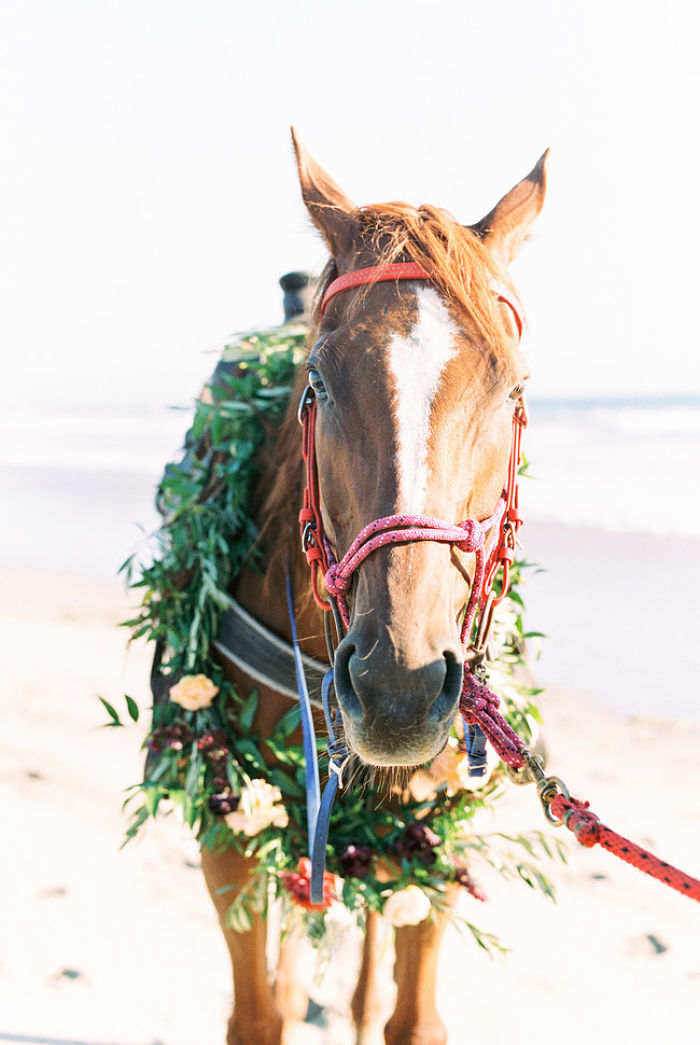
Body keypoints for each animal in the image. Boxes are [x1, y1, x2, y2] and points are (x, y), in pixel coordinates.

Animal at [197, 132, 547, 1045]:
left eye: (512, 387)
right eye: (317, 382)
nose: (399, 687)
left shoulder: (435, 845)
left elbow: (413, 1015)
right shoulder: (228, 836)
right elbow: (259, 1011)